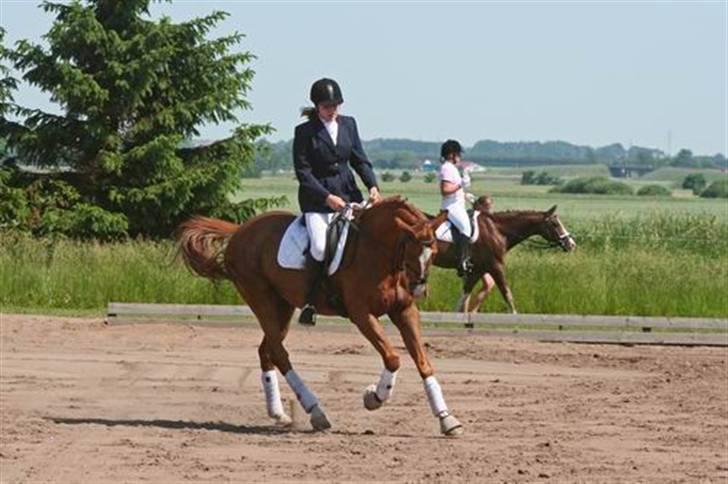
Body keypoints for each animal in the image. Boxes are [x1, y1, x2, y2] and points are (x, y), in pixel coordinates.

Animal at [177, 197, 464, 434]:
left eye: (434, 252)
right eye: (410, 249)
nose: (419, 290)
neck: (378, 252)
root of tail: (239, 232)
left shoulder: (404, 311)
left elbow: (423, 362)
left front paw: (446, 418)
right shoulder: (361, 314)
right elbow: (393, 358)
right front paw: (374, 397)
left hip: (282, 307)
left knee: (267, 351)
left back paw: (279, 413)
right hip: (261, 299)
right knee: (279, 353)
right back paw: (315, 411)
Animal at [432, 196, 576, 314]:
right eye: (555, 224)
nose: (571, 244)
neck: (497, 231)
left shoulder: (477, 271)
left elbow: (464, 296)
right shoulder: (496, 267)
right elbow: (507, 294)